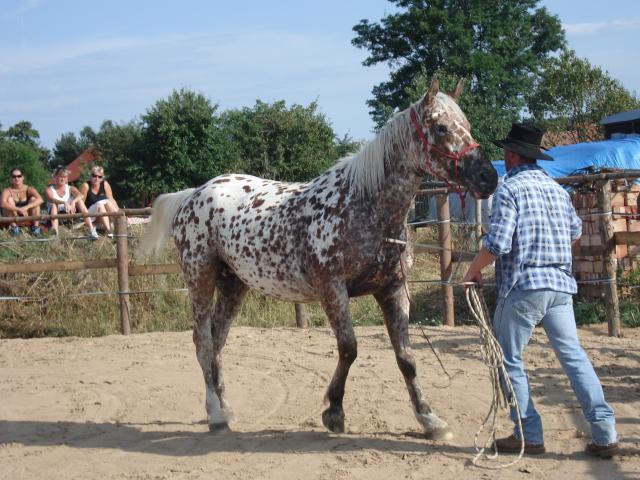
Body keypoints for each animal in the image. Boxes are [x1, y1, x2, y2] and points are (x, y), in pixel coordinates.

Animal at [138, 78, 500, 438]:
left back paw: (226, 410)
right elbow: (349, 348)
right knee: (202, 342)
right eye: (440, 127)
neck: (364, 208)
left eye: (467, 126)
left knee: (217, 342)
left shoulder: (393, 290)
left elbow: (406, 357)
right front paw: (334, 411)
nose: (488, 177)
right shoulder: (332, 289)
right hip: (200, 278)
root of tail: (193, 195)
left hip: (234, 284)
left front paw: (429, 418)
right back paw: (215, 414)